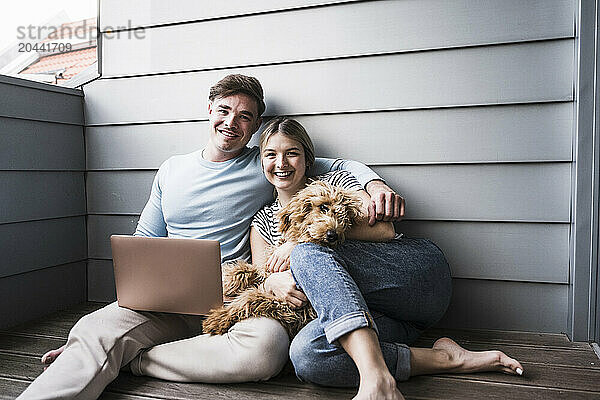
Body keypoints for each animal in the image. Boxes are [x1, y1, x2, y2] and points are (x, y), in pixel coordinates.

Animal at [202, 181, 360, 338]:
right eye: (323, 207)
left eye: (345, 219)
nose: (333, 235)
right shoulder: (268, 270)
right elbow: (246, 270)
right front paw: (226, 280)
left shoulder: (290, 308)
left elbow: (249, 298)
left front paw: (219, 318)